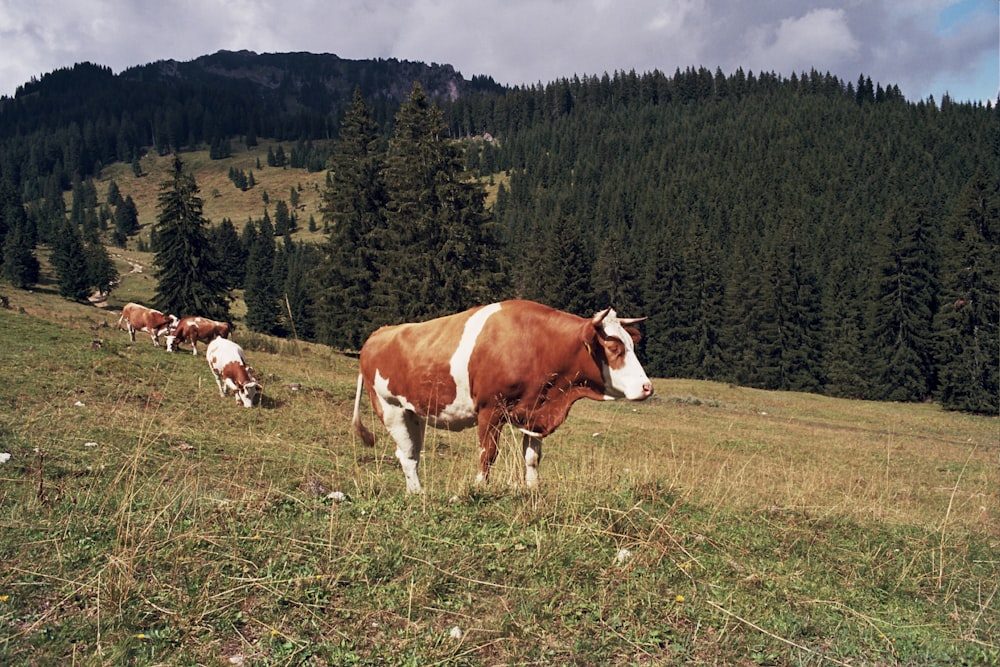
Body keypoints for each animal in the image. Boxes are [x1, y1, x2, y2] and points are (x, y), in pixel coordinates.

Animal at [352, 300, 656, 494]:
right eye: (614, 348)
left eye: (631, 345)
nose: (647, 387)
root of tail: (379, 334)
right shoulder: (491, 408)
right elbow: (488, 453)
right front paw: (479, 487)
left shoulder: (535, 412)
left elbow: (532, 457)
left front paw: (533, 488)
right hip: (390, 408)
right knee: (406, 454)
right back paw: (417, 492)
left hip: (414, 412)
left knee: (411, 452)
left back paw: (415, 492)